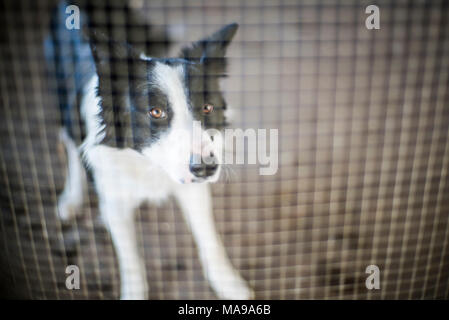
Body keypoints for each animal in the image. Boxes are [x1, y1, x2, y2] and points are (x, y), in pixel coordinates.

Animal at [47, 0, 254, 300]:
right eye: (155, 112)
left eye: (207, 108)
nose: (206, 167)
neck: (148, 164)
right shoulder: (115, 204)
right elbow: (131, 258)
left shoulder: (194, 190)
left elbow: (209, 238)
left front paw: (228, 283)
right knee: (69, 142)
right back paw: (71, 197)